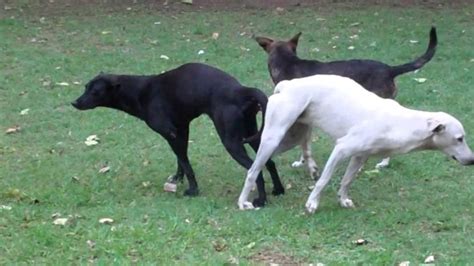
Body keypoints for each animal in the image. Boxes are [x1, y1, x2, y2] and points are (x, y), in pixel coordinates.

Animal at [71, 62, 282, 206]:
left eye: (95, 91)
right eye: (85, 87)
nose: (74, 102)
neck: (139, 91)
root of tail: (241, 90)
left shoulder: (170, 133)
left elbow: (186, 163)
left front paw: (192, 189)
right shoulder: (181, 130)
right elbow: (181, 159)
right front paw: (178, 178)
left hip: (231, 141)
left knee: (254, 170)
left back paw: (261, 200)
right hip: (254, 134)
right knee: (269, 162)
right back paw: (278, 190)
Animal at [241, 74, 474, 212]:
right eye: (459, 138)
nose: (472, 160)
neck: (401, 123)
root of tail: (287, 84)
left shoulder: (360, 156)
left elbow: (347, 181)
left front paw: (343, 199)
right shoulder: (342, 148)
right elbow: (324, 181)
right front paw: (312, 202)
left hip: (290, 138)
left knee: (275, 159)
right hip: (274, 138)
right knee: (252, 170)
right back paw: (243, 202)